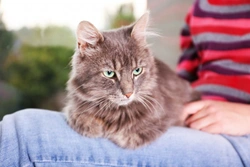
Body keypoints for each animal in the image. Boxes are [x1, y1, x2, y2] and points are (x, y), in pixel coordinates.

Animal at [63, 12, 200, 149]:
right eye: (109, 73)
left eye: (137, 71)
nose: (128, 94)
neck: (116, 112)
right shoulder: (76, 103)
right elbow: (74, 112)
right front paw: (89, 125)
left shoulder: (164, 116)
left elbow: (141, 131)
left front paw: (123, 136)